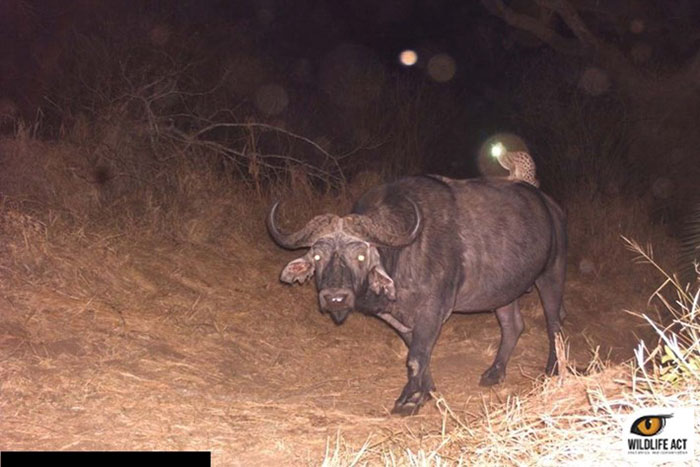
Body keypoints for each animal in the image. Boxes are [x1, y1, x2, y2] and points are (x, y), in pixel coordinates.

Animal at [266, 176, 568, 416]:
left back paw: (553, 369)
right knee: (512, 325)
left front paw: (409, 400)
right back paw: (494, 373)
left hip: (551, 274)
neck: (403, 255)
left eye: (361, 256)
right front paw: (426, 391)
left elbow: (415, 357)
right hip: (504, 291)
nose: (335, 298)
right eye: (318, 256)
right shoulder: (397, 318)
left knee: (554, 324)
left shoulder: (432, 311)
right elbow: (418, 354)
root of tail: (551, 206)